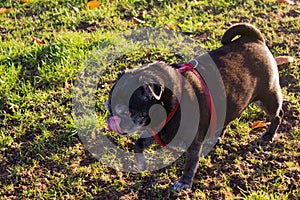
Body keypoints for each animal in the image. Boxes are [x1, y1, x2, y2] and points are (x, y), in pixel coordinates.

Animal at [106, 23, 284, 191]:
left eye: (126, 112)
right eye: (108, 108)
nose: (111, 121)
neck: (170, 101)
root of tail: (255, 39)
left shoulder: (192, 144)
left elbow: (190, 164)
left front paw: (184, 183)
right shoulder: (156, 130)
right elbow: (139, 144)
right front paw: (141, 165)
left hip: (267, 99)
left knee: (278, 114)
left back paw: (269, 134)